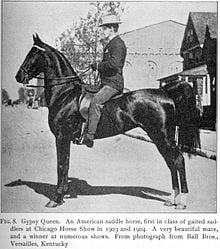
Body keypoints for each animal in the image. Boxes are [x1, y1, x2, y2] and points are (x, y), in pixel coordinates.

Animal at [15, 34, 201, 209]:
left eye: (33, 54)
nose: (18, 76)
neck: (65, 93)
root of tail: (165, 92)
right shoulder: (64, 138)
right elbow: (65, 165)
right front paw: (62, 195)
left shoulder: (61, 136)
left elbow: (61, 165)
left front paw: (56, 198)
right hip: (160, 138)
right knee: (171, 162)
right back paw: (172, 199)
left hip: (162, 136)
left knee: (178, 160)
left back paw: (182, 201)